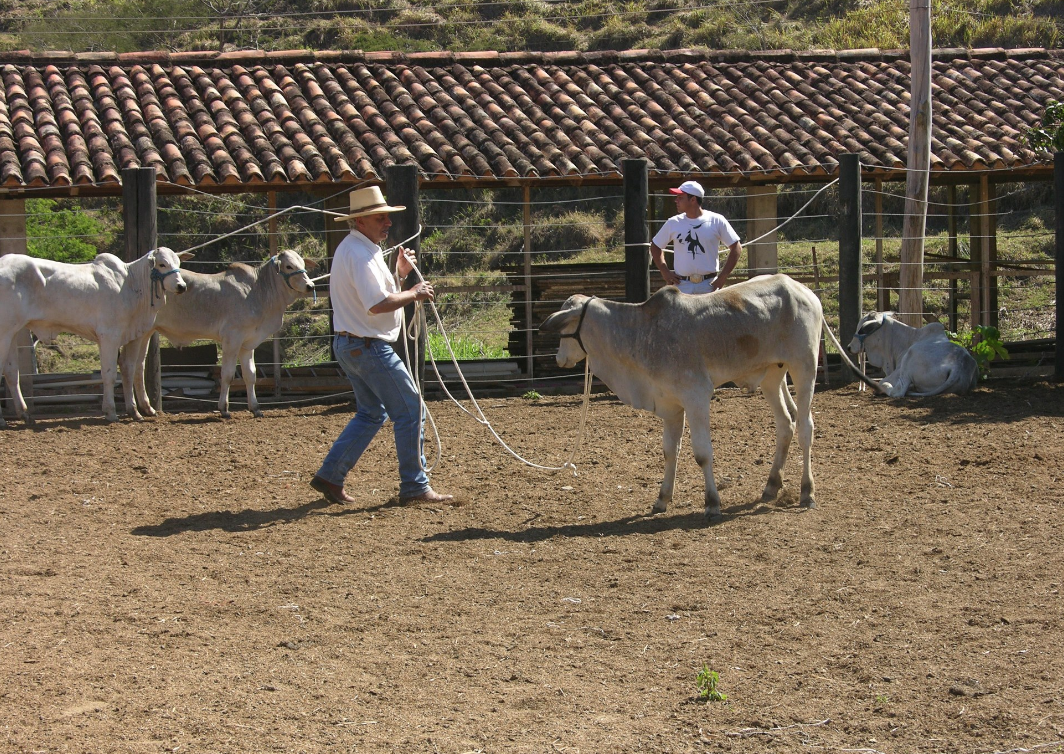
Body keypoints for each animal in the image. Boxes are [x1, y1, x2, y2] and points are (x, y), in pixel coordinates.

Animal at [0, 246, 189, 423]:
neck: (131, 283)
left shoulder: (134, 335)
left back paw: (24, 413)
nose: (182, 286)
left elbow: (129, 369)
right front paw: (110, 412)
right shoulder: (109, 336)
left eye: (178, 263)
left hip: (12, 332)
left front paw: (134, 411)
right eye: (162, 264)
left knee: (11, 372)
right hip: (4, 332)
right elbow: (109, 374)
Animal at [125, 250, 314, 416]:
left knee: (139, 366)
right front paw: (224, 409)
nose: (310, 285)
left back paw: (148, 409)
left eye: (303, 264)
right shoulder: (232, 338)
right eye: (289, 266)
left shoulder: (247, 344)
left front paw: (255, 408)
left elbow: (250, 375)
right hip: (137, 333)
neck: (258, 290)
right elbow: (228, 375)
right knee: (128, 364)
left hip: (147, 332)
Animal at [536, 274, 876, 521]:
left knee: (805, 427)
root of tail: (805, 291)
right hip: (772, 377)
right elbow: (669, 452)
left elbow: (702, 453)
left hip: (804, 367)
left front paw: (712, 503)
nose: (558, 358)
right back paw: (771, 486)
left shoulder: (696, 396)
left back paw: (807, 492)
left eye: (564, 328)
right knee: (785, 425)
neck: (642, 334)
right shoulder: (671, 406)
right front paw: (662, 499)